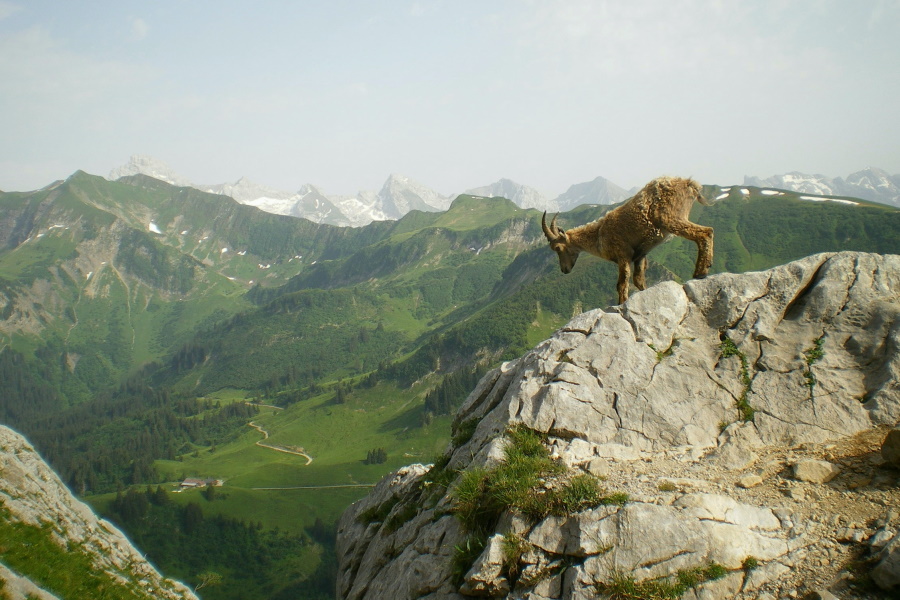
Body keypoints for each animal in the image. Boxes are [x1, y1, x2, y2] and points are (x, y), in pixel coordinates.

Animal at [540, 176, 716, 302]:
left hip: (671, 218)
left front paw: (621, 304)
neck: (599, 234)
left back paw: (700, 272)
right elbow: (639, 281)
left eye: (558, 248)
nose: (564, 270)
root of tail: (689, 184)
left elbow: (622, 284)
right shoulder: (640, 255)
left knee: (705, 232)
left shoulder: (622, 254)